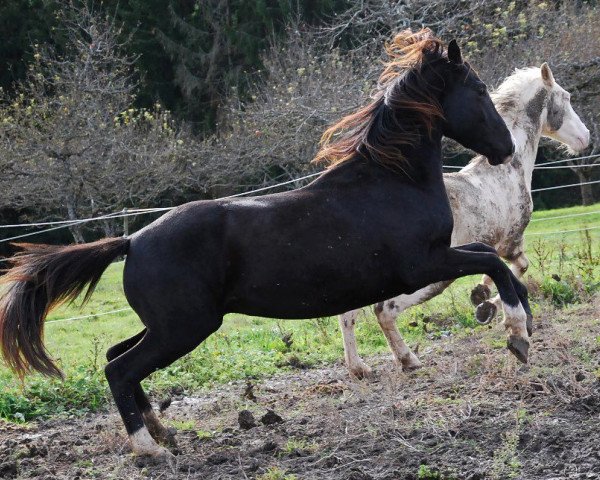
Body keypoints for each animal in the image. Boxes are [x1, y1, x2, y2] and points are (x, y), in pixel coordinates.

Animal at [0, 29, 528, 462]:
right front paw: (518, 335)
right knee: (120, 370)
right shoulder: (423, 264)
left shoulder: (433, 261)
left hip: (168, 326)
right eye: (479, 91)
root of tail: (132, 240)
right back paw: (151, 449)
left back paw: (164, 432)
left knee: (116, 356)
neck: (392, 182)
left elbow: (495, 261)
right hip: (184, 328)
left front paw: (517, 321)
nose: (504, 149)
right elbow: (493, 263)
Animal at [340, 62, 588, 378]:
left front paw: (481, 298)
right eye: (566, 97)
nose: (586, 138)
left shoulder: (494, 245)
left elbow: (500, 271)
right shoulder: (511, 243)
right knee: (385, 309)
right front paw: (487, 307)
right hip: (428, 277)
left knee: (349, 314)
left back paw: (360, 368)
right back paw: (407, 360)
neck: (508, 171)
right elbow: (518, 268)